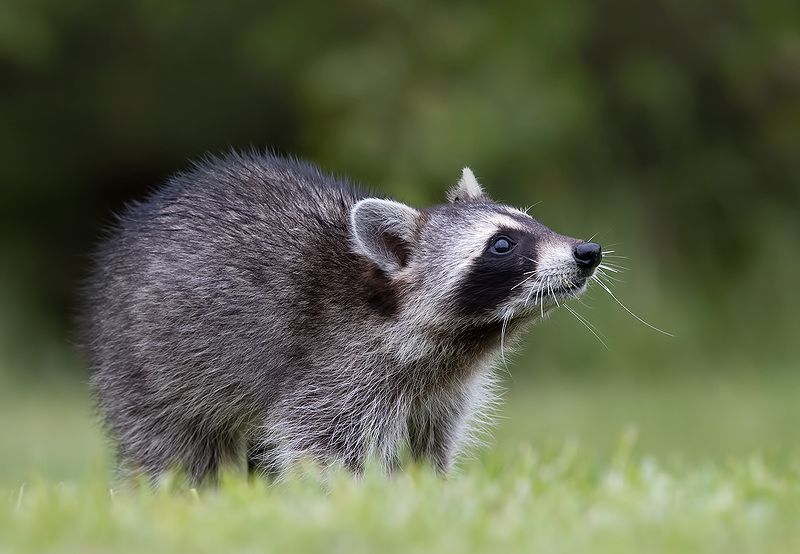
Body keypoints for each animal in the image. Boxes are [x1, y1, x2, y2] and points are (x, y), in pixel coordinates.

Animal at [81, 152, 602, 484]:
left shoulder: (443, 391)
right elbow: (322, 445)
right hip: (148, 367)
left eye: (531, 222)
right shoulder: (336, 368)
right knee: (171, 449)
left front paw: (430, 490)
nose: (588, 251)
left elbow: (430, 442)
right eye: (502, 244)